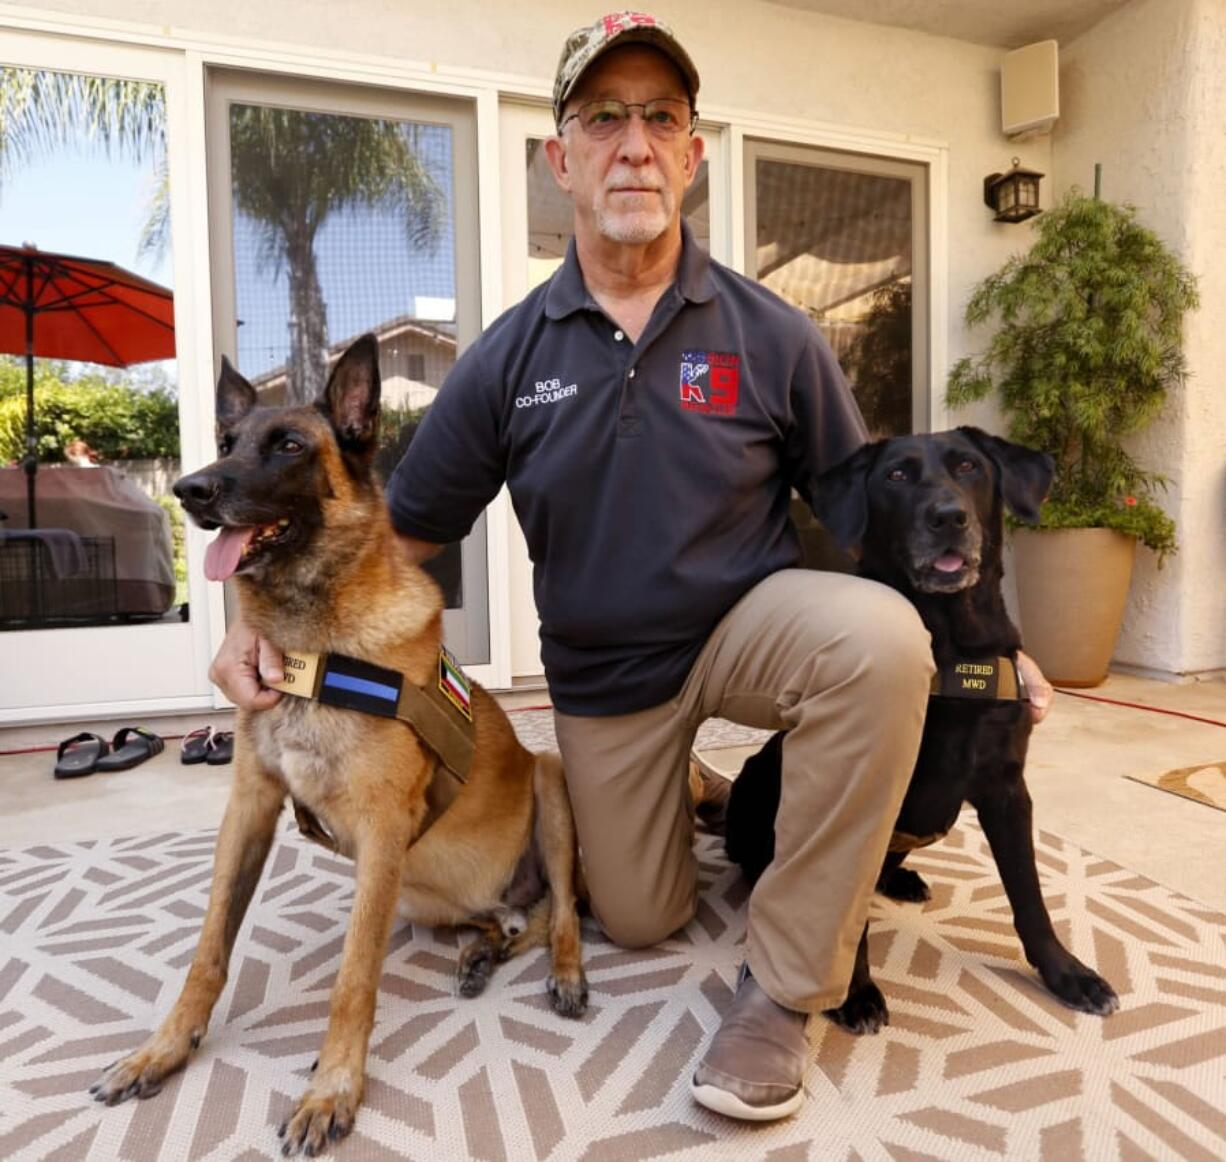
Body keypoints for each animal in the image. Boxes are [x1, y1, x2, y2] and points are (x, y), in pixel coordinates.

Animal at [88, 333, 586, 1152]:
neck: (309, 651)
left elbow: (354, 978)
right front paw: (162, 1050)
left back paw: (566, 970)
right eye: (226, 443)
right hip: (418, 891)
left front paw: (332, 1090)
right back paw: (481, 953)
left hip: (544, 784)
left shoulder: (381, 830)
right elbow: (208, 950)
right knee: (507, 920)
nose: (191, 490)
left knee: (563, 914)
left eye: (288, 445)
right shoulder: (252, 807)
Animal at [725, 429, 1123, 1034]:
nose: (948, 517)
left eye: (970, 467)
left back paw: (903, 880)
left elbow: (1029, 894)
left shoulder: (1008, 789)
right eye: (896, 476)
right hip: (754, 784)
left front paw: (1068, 975)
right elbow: (842, 912)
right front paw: (855, 993)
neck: (953, 646)